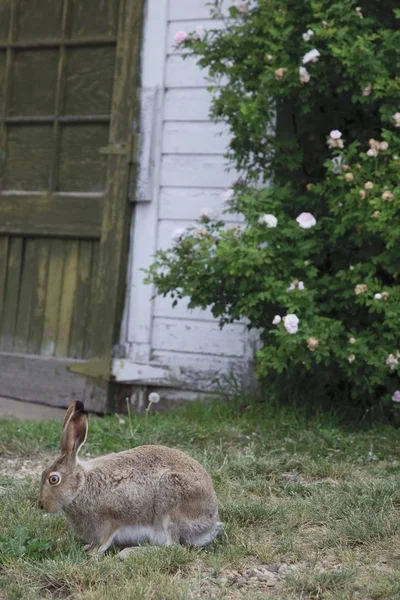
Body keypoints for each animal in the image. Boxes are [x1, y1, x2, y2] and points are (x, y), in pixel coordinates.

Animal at [39, 400, 222, 560]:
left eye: (53, 479)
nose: (42, 505)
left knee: (173, 546)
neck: (82, 487)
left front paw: (92, 554)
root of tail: (210, 521)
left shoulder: (110, 520)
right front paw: (86, 548)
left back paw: (128, 553)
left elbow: (105, 540)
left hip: (169, 505)